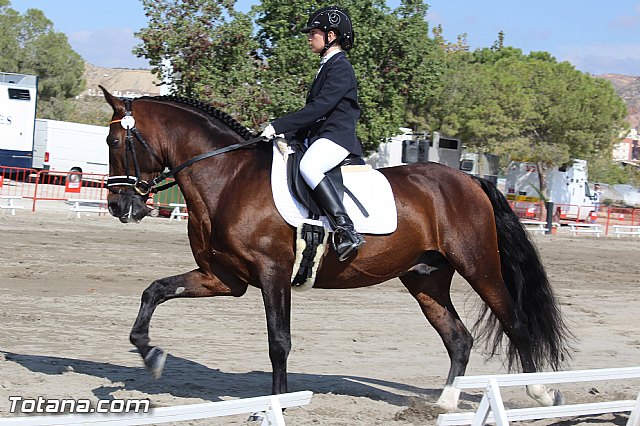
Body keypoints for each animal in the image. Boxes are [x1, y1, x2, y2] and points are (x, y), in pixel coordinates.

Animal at [100, 86, 572, 410]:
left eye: (115, 143)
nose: (120, 206)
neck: (227, 177)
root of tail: (470, 179)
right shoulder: (224, 278)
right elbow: (155, 290)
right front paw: (151, 355)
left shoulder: (272, 274)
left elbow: (279, 342)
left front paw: (274, 405)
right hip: (426, 279)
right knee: (458, 338)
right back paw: (444, 404)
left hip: (479, 267)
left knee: (516, 323)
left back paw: (541, 394)